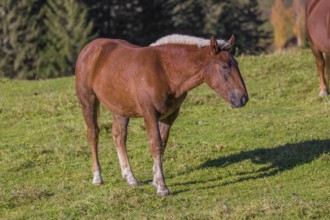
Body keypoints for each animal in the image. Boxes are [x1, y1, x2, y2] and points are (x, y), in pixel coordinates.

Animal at [75, 34, 248, 196]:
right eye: (224, 66)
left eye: (237, 64)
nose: (243, 98)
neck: (165, 71)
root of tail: (89, 49)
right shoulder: (150, 113)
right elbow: (156, 144)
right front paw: (162, 187)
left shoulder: (169, 115)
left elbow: (162, 143)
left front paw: (155, 180)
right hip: (89, 101)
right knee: (93, 134)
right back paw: (97, 177)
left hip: (120, 107)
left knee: (119, 136)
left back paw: (130, 177)